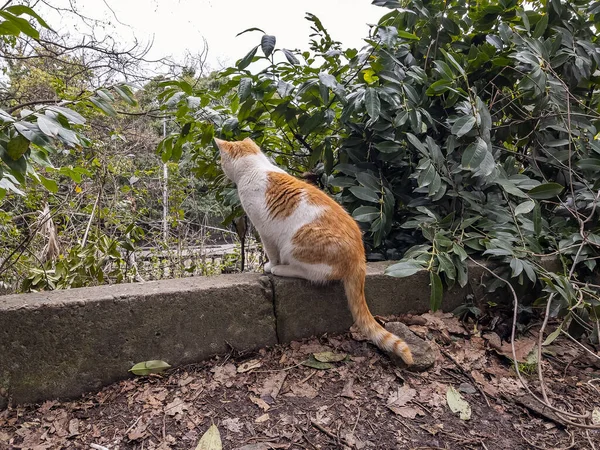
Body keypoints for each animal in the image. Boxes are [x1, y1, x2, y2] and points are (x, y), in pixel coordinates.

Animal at [213, 137, 414, 366]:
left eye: (221, 160)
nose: (220, 167)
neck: (255, 168)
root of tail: (359, 258)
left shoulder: (264, 231)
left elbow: (271, 253)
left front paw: (271, 265)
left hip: (295, 244)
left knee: (313, 274)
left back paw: (282, 269)